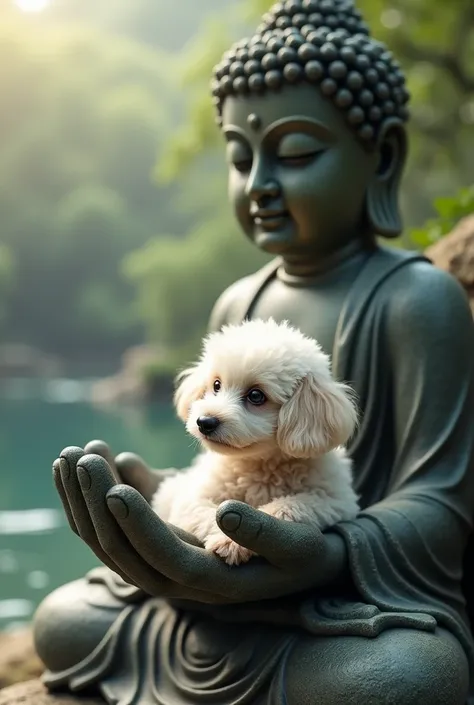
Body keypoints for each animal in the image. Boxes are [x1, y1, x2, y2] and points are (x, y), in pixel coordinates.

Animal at [152, 320, 360, 568]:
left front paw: (235, 540)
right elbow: (205, 512)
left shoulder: (336, 500)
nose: (205, 422)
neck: (259, 463)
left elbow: (289, 505)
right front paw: (228, 540)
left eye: (256, 396)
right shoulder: (191, 499)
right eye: (216, 385)